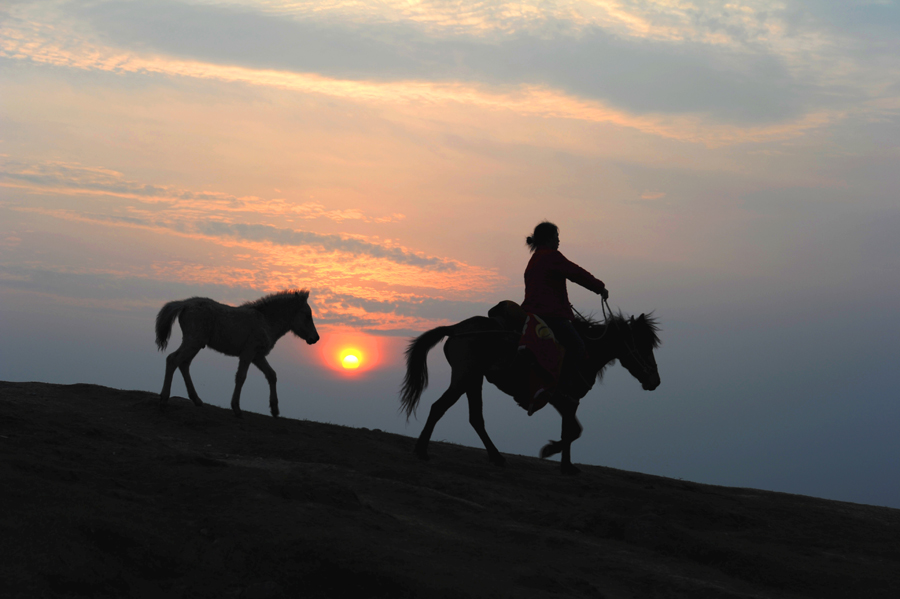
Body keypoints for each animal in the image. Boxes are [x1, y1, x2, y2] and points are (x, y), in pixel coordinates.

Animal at [156, 290, 320, 418]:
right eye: (307, 315)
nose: (316, 338)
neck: (265, 321)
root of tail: (185, 304)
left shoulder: (258, 356)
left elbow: (272, 375)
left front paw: (274, 410)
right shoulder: (248, 353)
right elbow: (241, 377)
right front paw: (236, 408)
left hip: (195, 344)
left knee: (183, 364)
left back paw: (196, 399)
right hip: (193, 342)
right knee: (173, 360)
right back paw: (163, 399)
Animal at [400, 302, 660, 476]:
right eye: (644, 344)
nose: (655, 381)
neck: (586, 350)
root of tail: (455, 329)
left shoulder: (563, 400)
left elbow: (572, 430)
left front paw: (564, 462)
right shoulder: (565, 397)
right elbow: (572, 431)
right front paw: (555, 455)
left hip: (473, 380)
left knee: (476, 419)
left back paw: (496, 457)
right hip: (465, 378)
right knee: (439, 407)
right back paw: (422, 450)